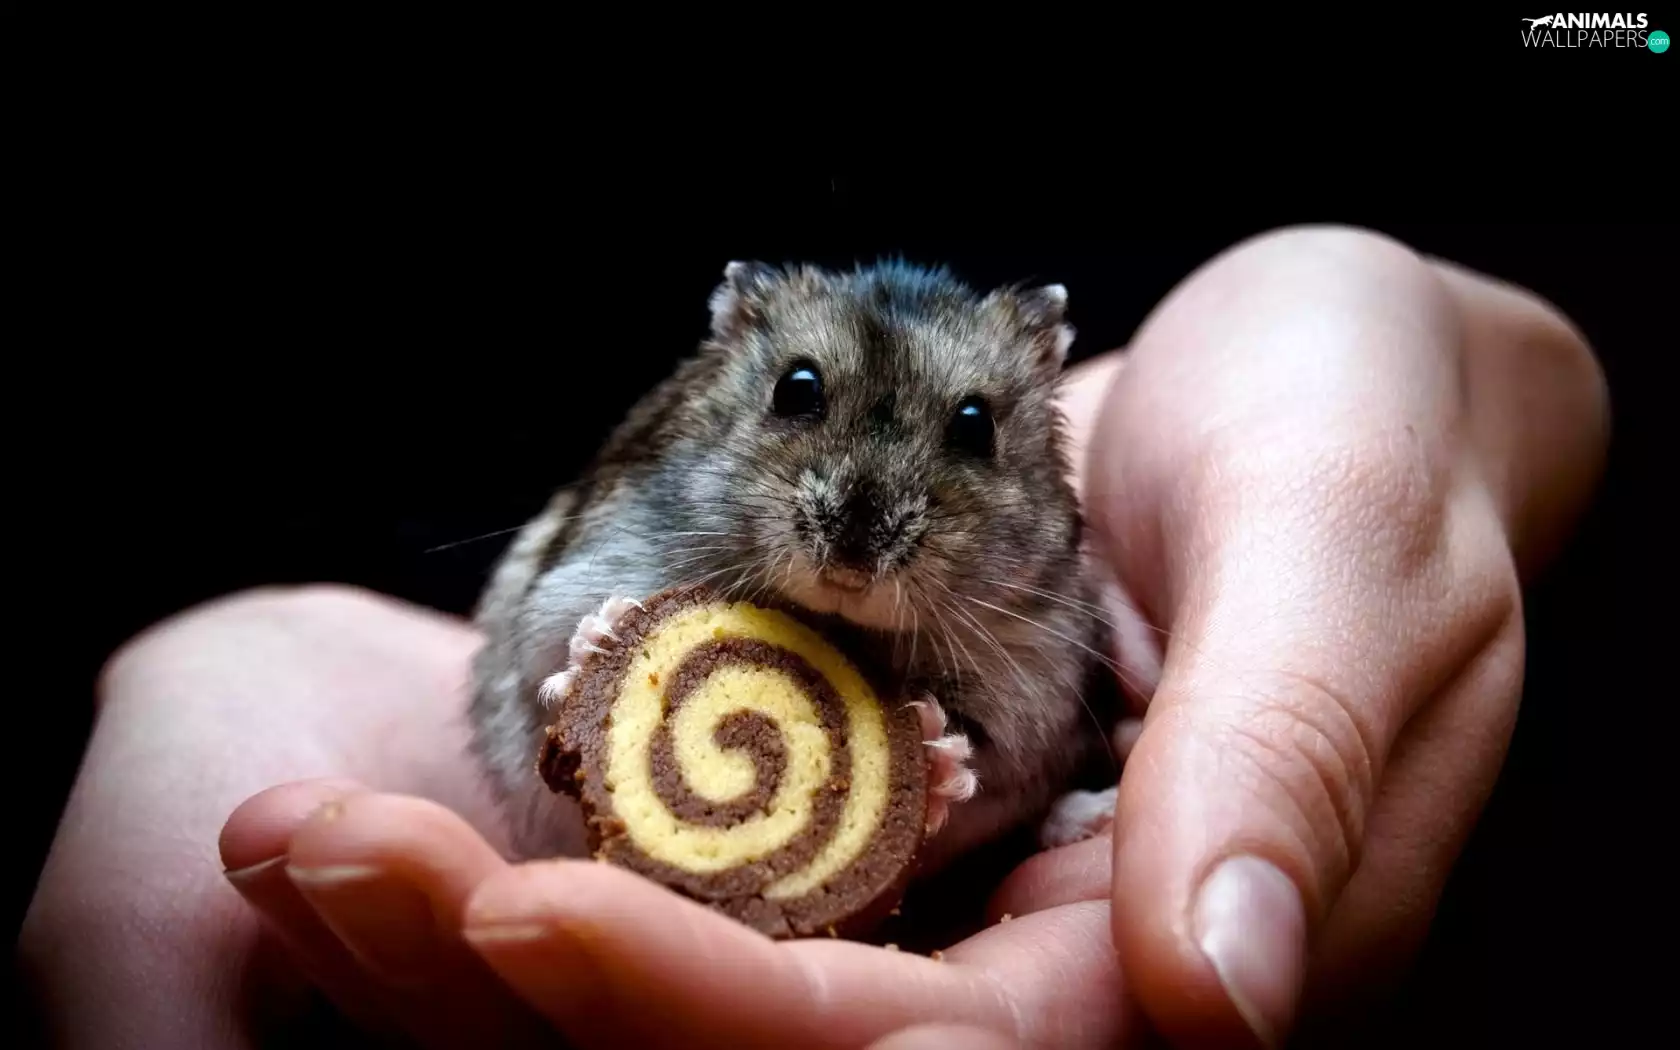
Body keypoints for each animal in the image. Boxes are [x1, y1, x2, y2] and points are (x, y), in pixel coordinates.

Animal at [467, 259, 1157, 876]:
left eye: (975, 424)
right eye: (795, 388)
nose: (852, 557)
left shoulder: (1037, 678)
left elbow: (985, 761)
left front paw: (936, 753)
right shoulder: (563, 588)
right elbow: (556, 665)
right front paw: (604, 634)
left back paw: (1087, 817)